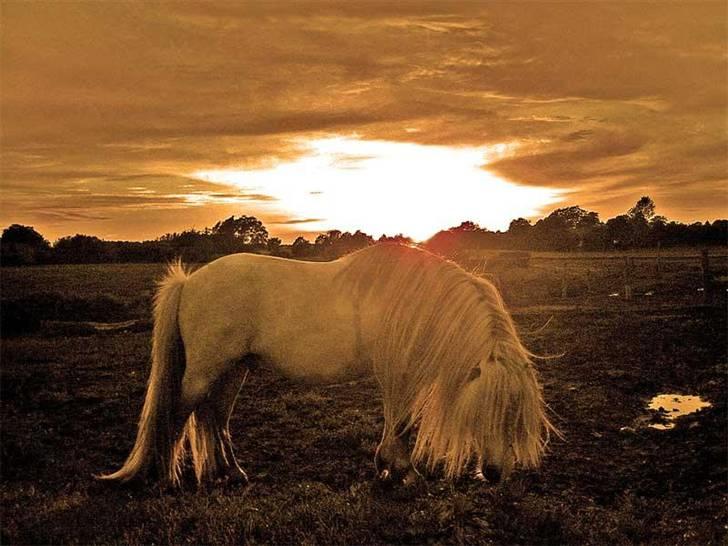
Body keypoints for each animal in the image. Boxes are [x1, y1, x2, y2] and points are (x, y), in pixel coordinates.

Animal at [99, 242, 556, 484]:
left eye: (516, 415)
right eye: (488, 410)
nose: (496, 473)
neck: (418, 303)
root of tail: (190, 280)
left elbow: (399, 419)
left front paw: (390, 467)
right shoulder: (398, 372)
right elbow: (401, 420)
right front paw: (400, 469)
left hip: (233, 370)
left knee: (215, 417)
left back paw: (230, 473)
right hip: (205, 371)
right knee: (180, 414)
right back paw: (166, 477)